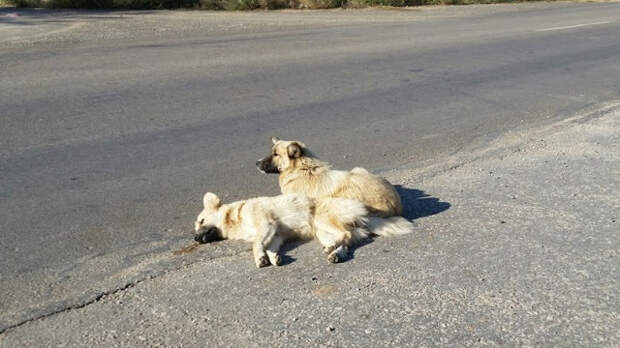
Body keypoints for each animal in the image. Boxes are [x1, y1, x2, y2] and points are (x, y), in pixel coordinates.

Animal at [194, 192, 412, 268]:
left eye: (201, 220)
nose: (195, 238)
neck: (237, 215)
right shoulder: (276, 235)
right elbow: (270, 247)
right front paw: (273, 258)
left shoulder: (266, 226)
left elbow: (256, 245)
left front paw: (260, 258)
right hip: (321, 232)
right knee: (346, 241)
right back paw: (335, 253)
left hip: (321, 221)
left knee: (346, 235)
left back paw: (333, 250)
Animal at [256, 137, 402, 216]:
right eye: (272, 152)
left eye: (275, 154)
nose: (256, 163)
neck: (302, 168)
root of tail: (396, 205)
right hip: (357, 169)